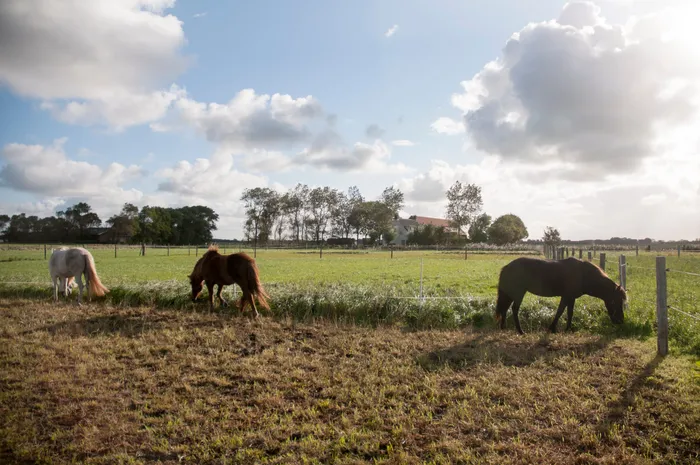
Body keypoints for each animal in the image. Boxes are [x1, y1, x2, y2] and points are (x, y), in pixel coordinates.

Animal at [495, 256, 627, 334]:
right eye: (616, 301)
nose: (620, 321)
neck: (583, 274)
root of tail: (507, 267)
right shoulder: (566, 296)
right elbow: (560, 311)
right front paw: (552, 328)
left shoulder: (571, 298)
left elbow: (569, 312)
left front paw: (568, 329)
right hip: (518, 293)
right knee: (514, 309)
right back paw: (520, 331)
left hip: (511, 293)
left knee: (505, 308)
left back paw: (503, 328)